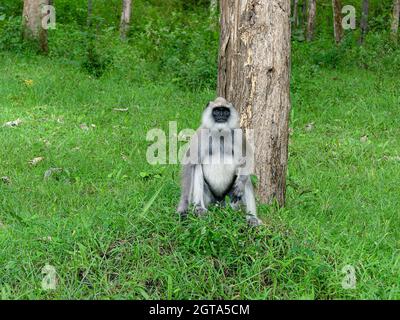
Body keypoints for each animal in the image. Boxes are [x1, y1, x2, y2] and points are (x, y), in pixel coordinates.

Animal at [176, 96, 262, 226]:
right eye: (217, 111)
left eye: (225, 111)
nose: (221, 115)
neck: (220, 132)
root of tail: (220, 202)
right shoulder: (201, 133)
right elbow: (189, 164)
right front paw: (183, 207)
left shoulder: (237, 133)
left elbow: (248, 157)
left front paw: (240, 184)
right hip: (209, 198)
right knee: (197, 166)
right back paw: (199, 208)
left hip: (231, 200)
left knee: (245, 180)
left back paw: (251, 217)